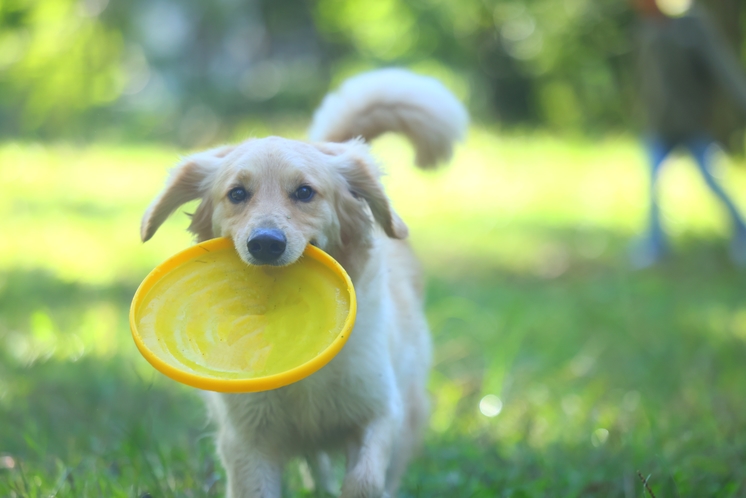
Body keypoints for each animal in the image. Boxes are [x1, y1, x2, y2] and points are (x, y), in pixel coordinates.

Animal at [140, 68, 464, 496]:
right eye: (237, 194)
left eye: (305, 192)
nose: (265, 244)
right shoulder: (247, 441)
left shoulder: (379, 411)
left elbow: (363, 481)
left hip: (409, 405)